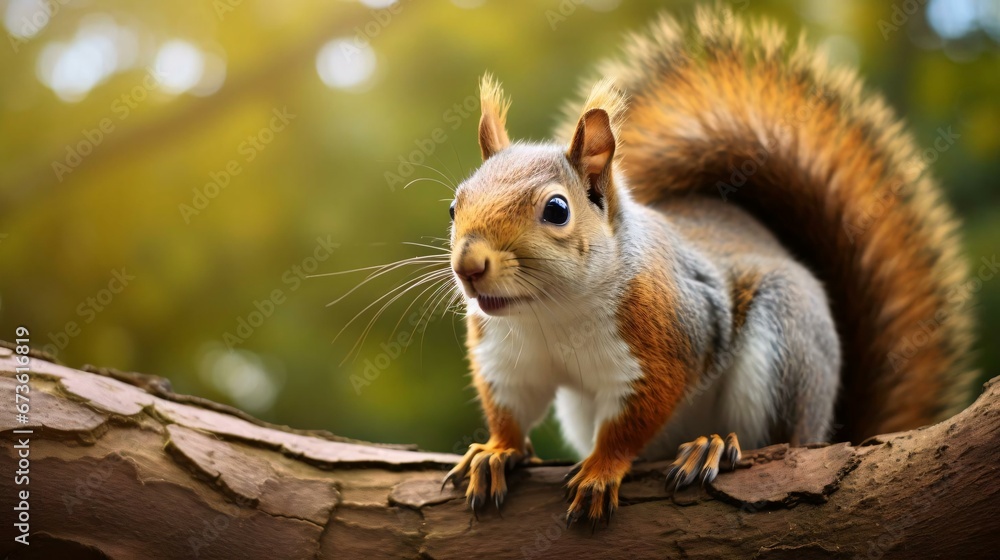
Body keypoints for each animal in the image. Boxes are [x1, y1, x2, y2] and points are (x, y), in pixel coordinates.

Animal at [440, 6, 976, 526]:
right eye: (453, 207)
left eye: (556, 210)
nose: (468, 265)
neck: (550, 314)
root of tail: (826, 430)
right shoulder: (505, 355)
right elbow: (510, 405)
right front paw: (496, 452)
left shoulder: (667, 338)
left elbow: (633, 419)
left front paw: (600, 470)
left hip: (786, 343)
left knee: (776, 442)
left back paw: (713, 446)